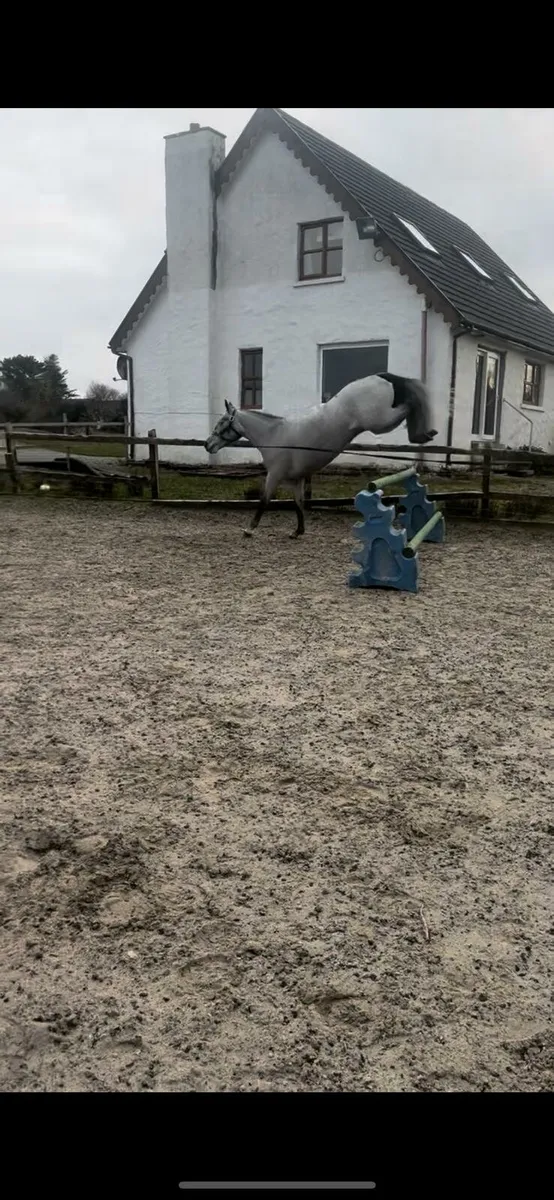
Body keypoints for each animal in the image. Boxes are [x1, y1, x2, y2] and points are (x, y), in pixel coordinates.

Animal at [204, 372, 437, 539]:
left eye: (222, 422)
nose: (208, 444)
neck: (274, 435)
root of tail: (383, 376)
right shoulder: (295, 480)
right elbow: (298, 504)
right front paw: (297, 531)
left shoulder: (274, 476)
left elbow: (264, 500)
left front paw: (250, 529)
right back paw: (425, 434)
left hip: (380, 422)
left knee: (408, 406)